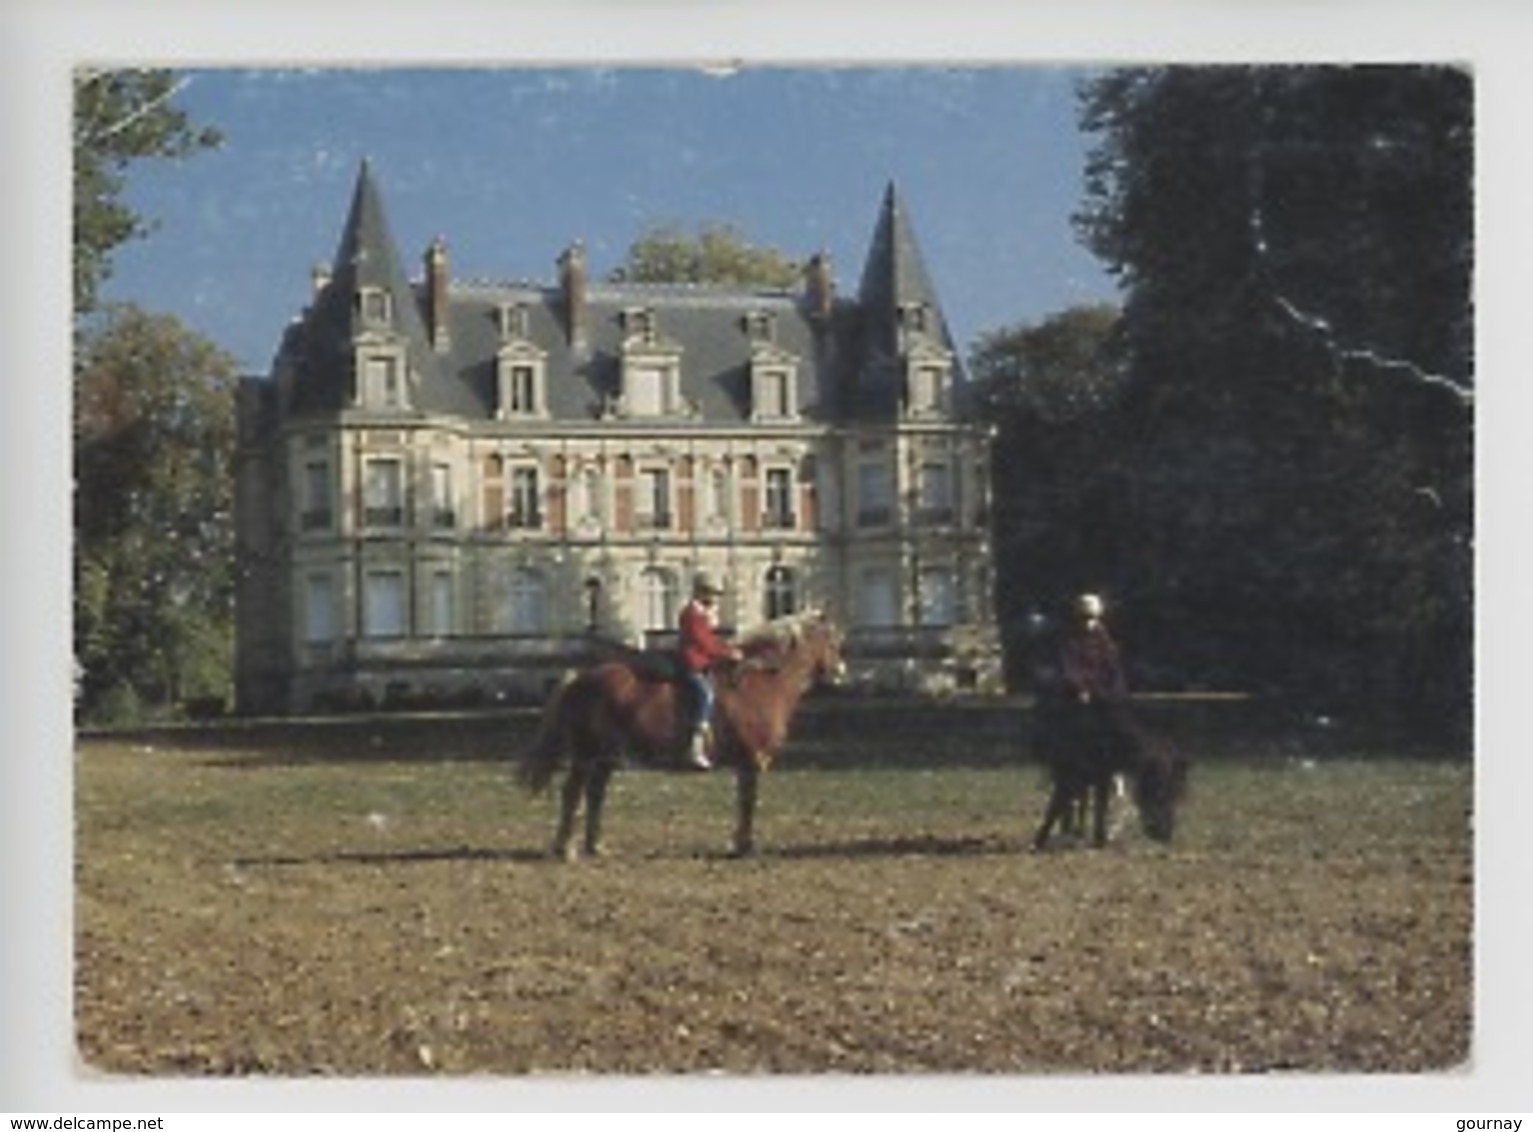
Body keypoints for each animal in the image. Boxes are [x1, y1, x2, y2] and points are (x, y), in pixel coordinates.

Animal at [521, 607, 846, 852]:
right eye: (832, 638)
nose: (841, 672)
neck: (759, 682)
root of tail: (580, 678)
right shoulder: (750, 761)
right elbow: (748, 802)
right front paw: (744, 845)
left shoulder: (747, 763)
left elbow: (745, 801)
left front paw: (741, 843)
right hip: (586, 755)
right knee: (572, 792)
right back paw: (565, 848)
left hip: (605, 758)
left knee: (595, 794)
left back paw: (595, 846)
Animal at [1036, 687, 1189, 846]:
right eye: (1160, 792)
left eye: (1178, 795)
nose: (1165, 835)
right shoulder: (1073, 775)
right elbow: (1058, 805)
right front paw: (1039, 842)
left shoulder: (1102, 776)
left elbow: (1099, 806)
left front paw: (1098, 840)